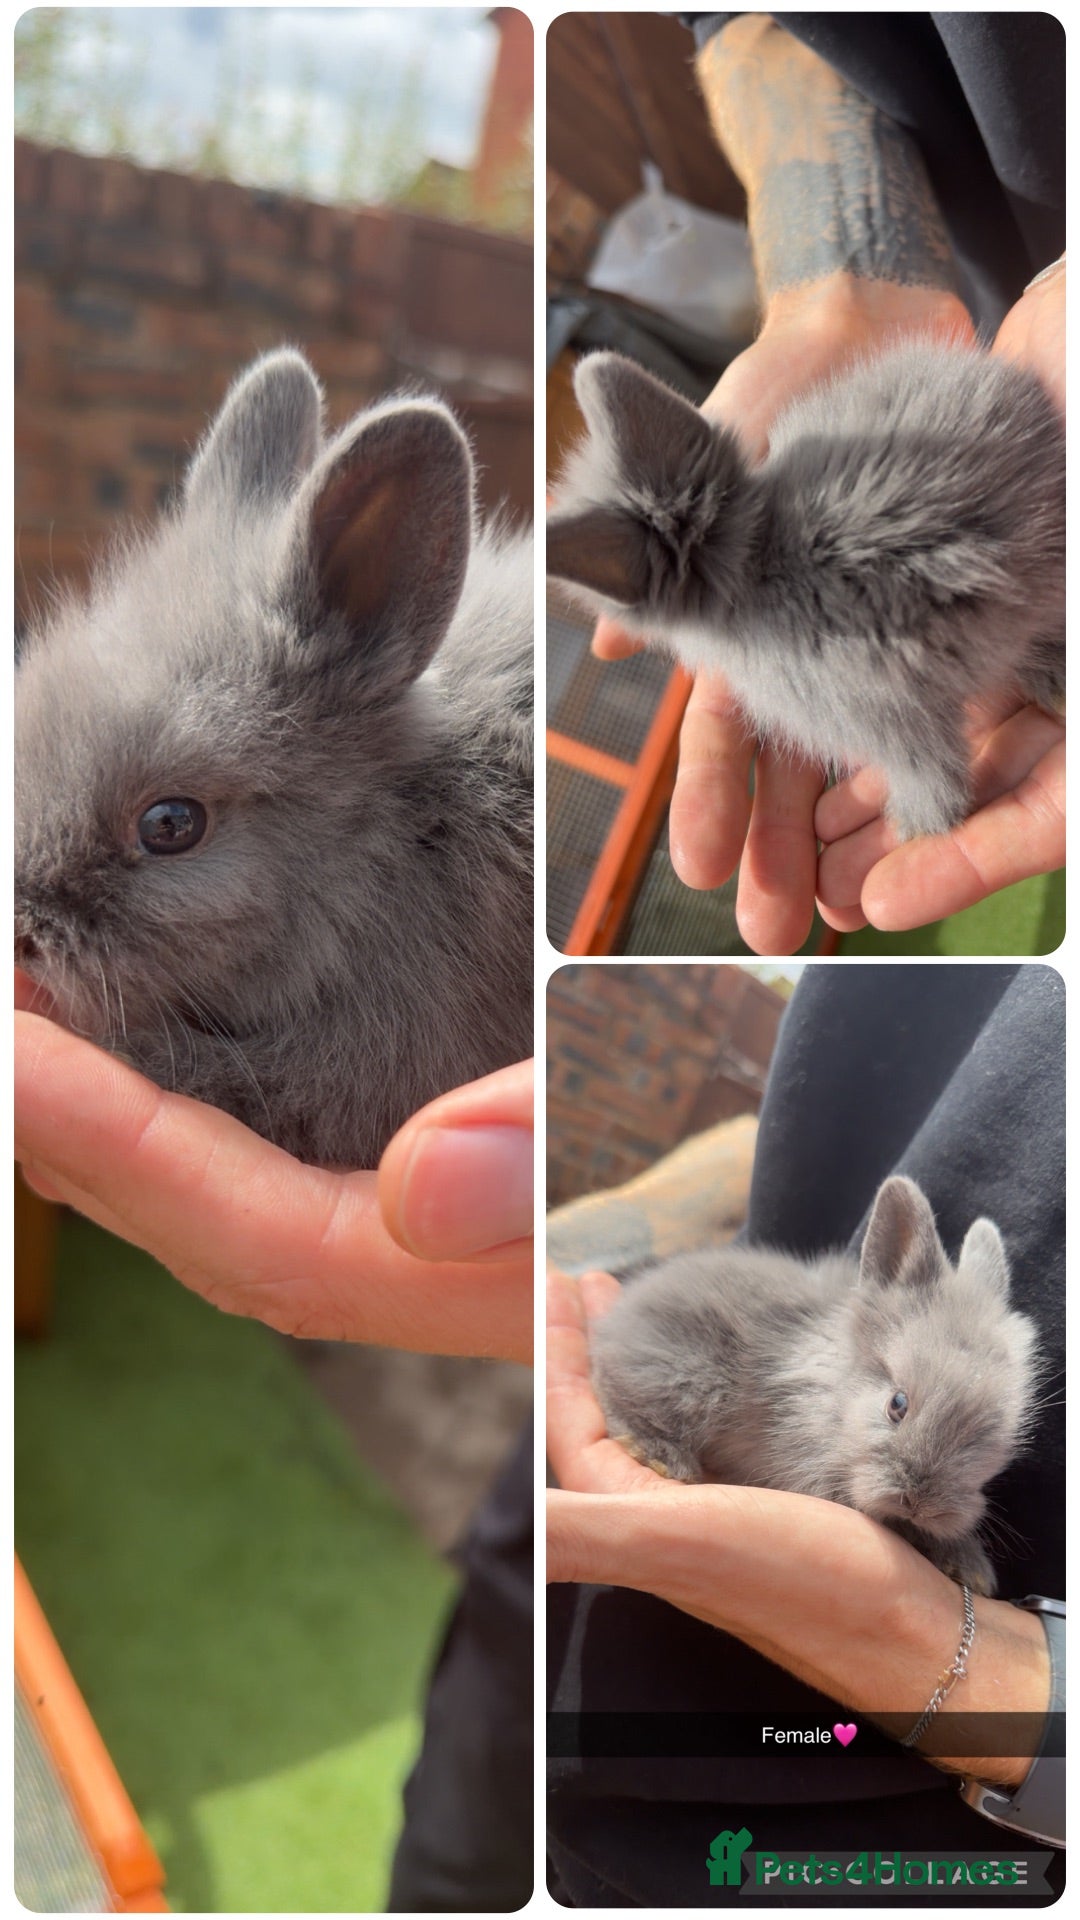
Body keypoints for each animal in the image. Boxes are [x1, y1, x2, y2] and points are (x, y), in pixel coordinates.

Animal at [589, 1176, 1040, 1595]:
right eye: (897, 1404)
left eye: (993, 1436)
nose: (920, 1502)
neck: (837, 1400)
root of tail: (619, 1317)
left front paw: (970, 1568)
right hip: (683, 1379)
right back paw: (659, 1454)